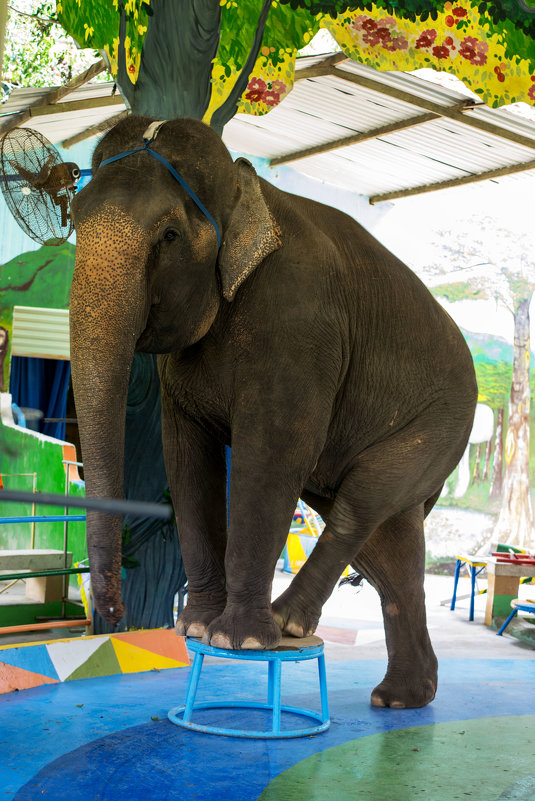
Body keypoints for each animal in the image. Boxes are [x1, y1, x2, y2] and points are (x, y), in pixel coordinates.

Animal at [70, 114, 478, 708]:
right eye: (73, 222)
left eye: (169, 236)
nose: (115, 614)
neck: (247, 193)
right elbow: (187, 458)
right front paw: (195, 628)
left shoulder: (298, 323)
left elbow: (270, 454)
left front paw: (234, 640)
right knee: (390, 542)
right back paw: (400, 698)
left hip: (443, 422)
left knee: (365, 500)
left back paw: (288, 625)